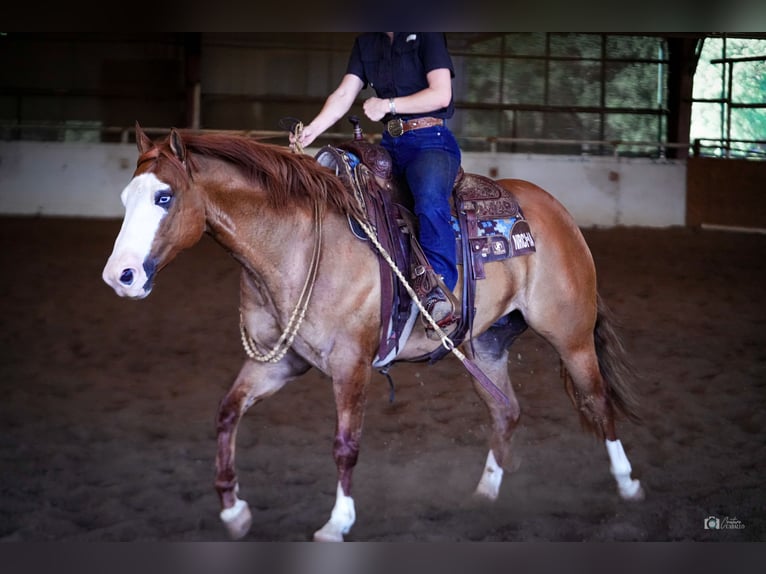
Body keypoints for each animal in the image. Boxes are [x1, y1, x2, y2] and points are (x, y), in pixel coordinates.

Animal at [100, 124, 640, 544]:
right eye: (125, 198)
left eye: (164, 197)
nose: (119, 276)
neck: (295, 245)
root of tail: (557, 212)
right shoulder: (279, 362)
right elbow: (228, 411)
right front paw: (234, 512)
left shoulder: (350, 365)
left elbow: (346, 443)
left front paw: (336, 524)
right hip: (484, 345)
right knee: (506, 411)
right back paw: (485, 493)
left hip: (570, 334)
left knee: (597, 401)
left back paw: (628, 484)